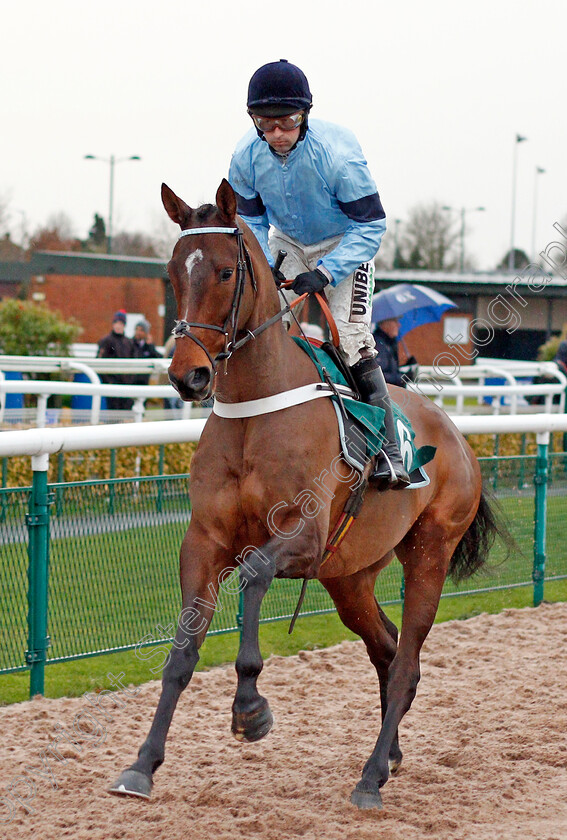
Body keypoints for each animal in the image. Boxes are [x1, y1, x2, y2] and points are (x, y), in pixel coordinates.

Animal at [111, 180, 502, 812]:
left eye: (225, 271)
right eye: (173, 273)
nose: (188, 376)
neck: (256, 410)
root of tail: (457, 437)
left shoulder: (303, 534)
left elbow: (253, 576)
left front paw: (250, 709)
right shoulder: (204, 541)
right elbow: (181, 653)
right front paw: (142, 765)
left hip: (429, 552)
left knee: (407, 662)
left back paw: (369, 777)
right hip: (350, 576)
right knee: (386, 648)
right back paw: (389, 759)